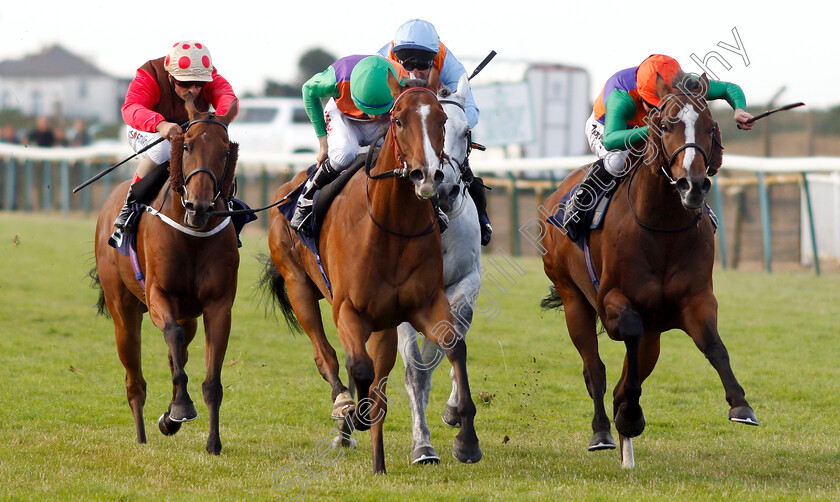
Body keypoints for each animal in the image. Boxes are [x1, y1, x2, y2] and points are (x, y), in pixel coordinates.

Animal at [94, 95, 241, 454]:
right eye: (186, 145)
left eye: (225, 152)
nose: (199, 207)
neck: (192, 236)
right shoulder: (159, 294)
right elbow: (171, 336)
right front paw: (182, 408)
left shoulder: (218, 305)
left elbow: (210, 380)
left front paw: (212, 442)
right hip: (123, 312)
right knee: (135, 380)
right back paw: (142, 435)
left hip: (189, 315)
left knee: (180, 352)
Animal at [266, 70, 482, 474]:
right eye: (398, 120)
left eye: (453, 126)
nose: (434, 180)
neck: (391, 228)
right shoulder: (353, 309)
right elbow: (385, 370)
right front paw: (413, 440)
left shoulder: (436, 297)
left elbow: (452, 347)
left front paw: (465, 436)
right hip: (299, 286)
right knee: (329, 355)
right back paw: (345, 411)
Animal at [540, 73, 756, 466]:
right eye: (667, 126)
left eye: (709, 127)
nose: (692, 184)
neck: (662, 225)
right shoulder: (612, 301)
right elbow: (627, 336)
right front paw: (628, 415)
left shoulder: (695, 299)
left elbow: (714, 346)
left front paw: (741, 404)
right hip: (572, 296)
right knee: (594, 369)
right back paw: (603, 432)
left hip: (653, 330)